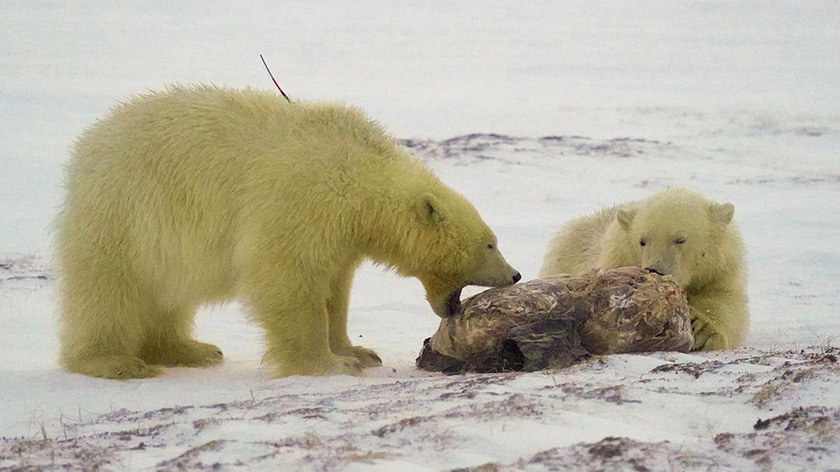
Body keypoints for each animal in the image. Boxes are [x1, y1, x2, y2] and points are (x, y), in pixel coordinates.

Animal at [55, 85, 520, 380]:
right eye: (490, 243)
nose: (515, 274)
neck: (359, 174)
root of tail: (87, 148)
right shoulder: (302, 202)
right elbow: (288, 278)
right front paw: (329, 365)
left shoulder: (340, 233)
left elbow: (335, 289)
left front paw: (356, 350)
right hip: (126, 215)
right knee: (111, 292)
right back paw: (116, 362)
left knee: (170, 297)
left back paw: (192, 349)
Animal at [544, 188, 748, 350]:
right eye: (642, 241)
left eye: (680, 239)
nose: (655, 270)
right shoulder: (617, 259)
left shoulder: (719, 270)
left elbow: (725, 300)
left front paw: (702, 329)